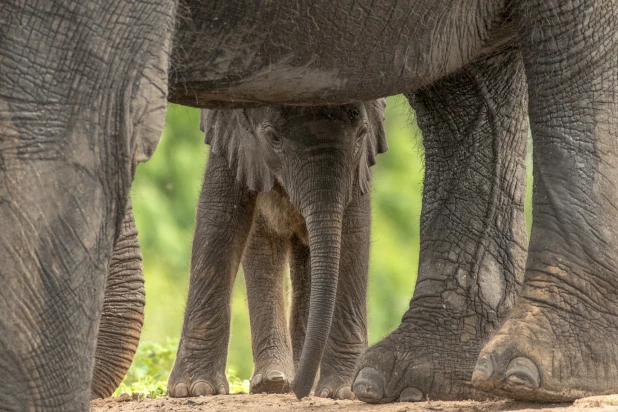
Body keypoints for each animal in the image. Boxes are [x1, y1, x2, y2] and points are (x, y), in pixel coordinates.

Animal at [167, 100, 384, 400]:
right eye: (273, 138)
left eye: (362, 133)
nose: (298, 391)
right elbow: (219, 213)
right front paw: (194, 389)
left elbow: (354, 228)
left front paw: (344, 392)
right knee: (262, 248)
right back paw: (274, 381)